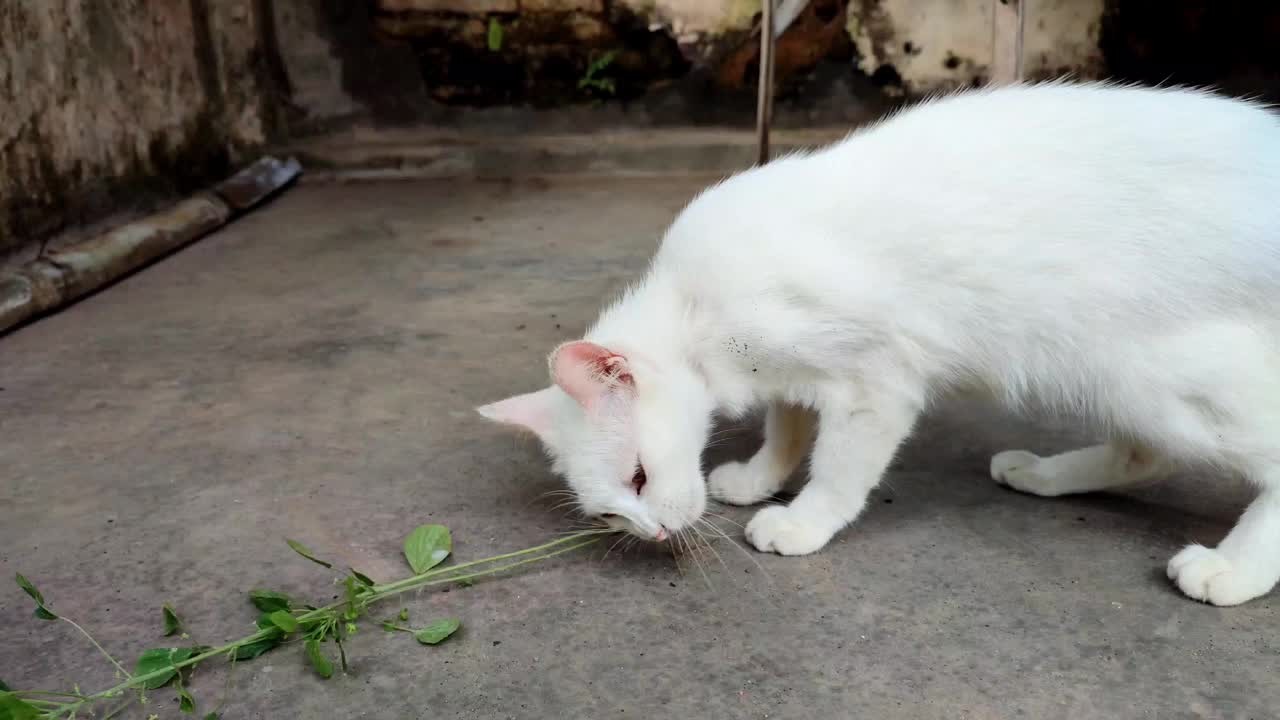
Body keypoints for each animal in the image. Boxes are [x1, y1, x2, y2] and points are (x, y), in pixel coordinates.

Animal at [478, 81, 1280, 602]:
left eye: (640, 478)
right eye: (611, 511)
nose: (649, 534)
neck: (694, 310)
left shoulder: (878, 380)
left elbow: (839, 466)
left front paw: (803, 520)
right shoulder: (793, 373)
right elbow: (788, 426)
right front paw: (761, 476)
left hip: (1157, 375)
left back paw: (1233, 572)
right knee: (1147, 453)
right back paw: (1043, 474)